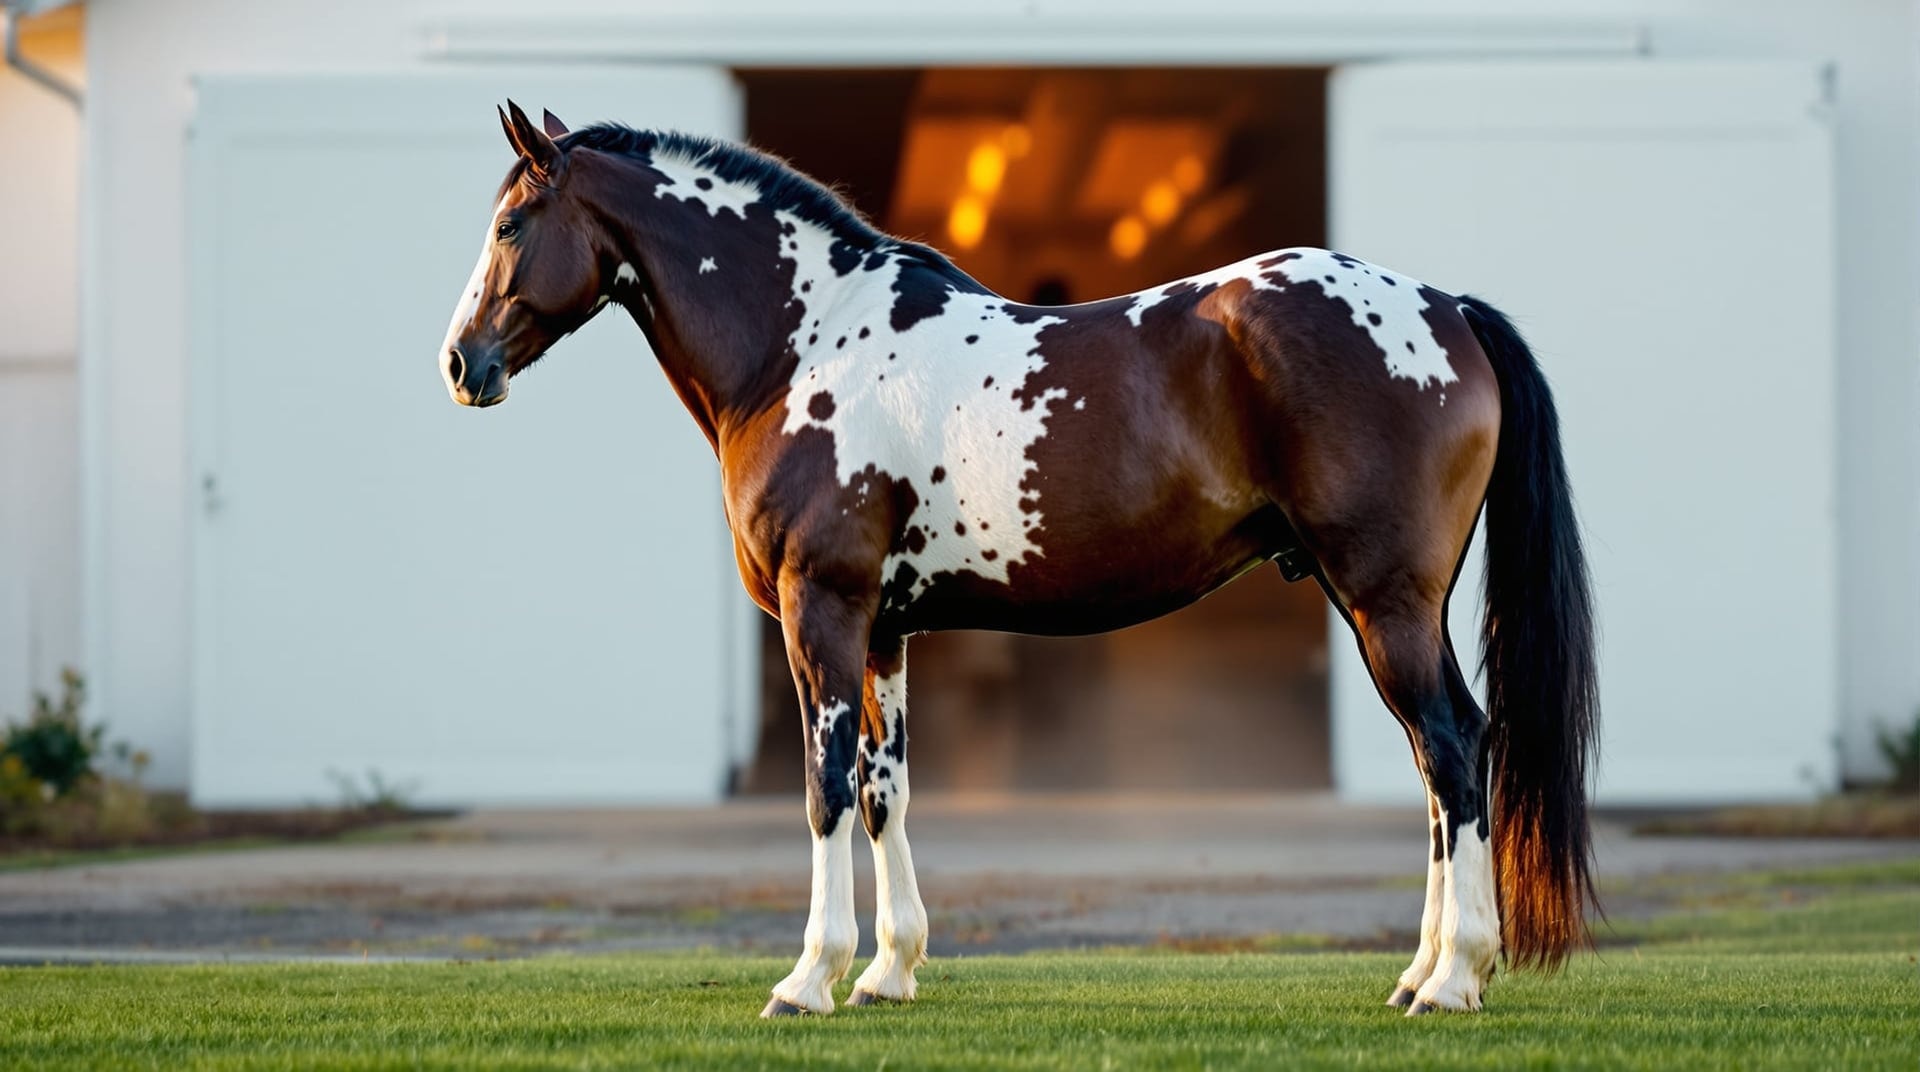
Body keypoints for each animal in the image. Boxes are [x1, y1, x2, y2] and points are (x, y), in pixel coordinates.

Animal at [439, 102, 1600, 1018]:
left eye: (507, 224)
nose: (461, 363)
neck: (801, 345)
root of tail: (1446, 310)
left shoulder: (823, 611)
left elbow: (824, 787)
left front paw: (809, 979)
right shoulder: (885, 629)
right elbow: (886, 790)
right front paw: (890, 972)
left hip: (1386, 601)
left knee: (1453, 749)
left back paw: (1454, 978)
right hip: (1388, 609)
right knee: (1440, 768)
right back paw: (1420, 974)